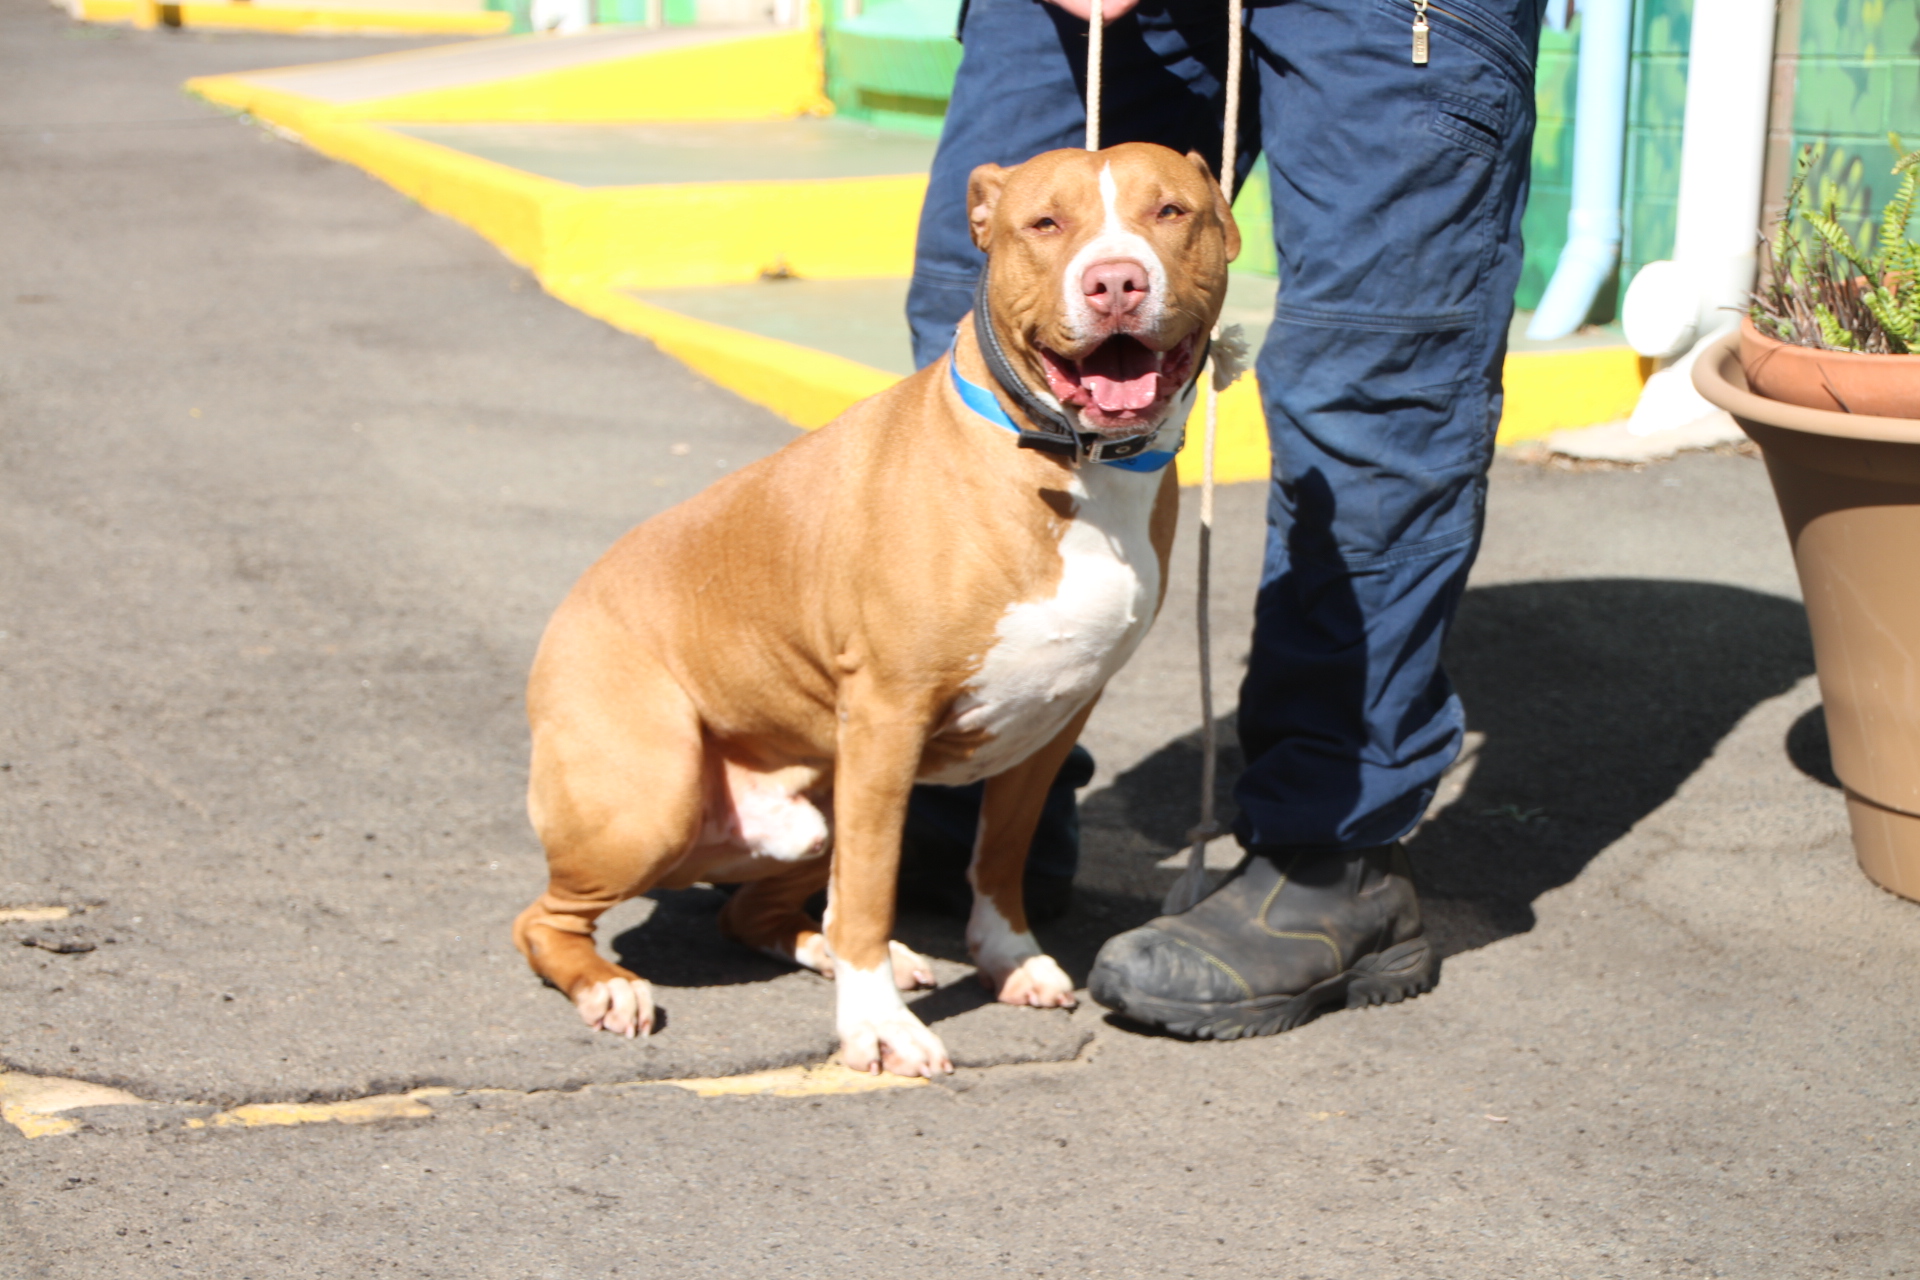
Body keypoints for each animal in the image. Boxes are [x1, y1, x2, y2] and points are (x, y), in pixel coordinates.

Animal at [512, 142, 1240, 1077]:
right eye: (1046, 224)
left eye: (1171, 212)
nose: (1116, 281)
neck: (1071, 464)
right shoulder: (889, 718)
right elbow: (871, 889)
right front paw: (879, 1027)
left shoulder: (1054, 720)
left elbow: (999, 856)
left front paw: (1007, 958)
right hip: (651, 802)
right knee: (545, 920)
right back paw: (609, 986)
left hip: (808, 814)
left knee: (750, 912)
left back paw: (834, 948)